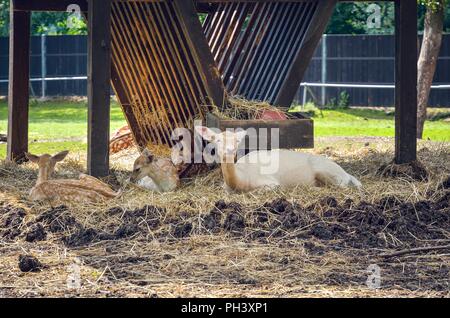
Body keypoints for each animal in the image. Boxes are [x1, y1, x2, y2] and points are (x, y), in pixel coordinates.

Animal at [195, 126, 360, 191]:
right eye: (217, 140)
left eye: (237, 141)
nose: (230, 150)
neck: (241, 180)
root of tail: (347, 173)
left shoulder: (271, 183)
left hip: (328, 172)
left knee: (340, 186)